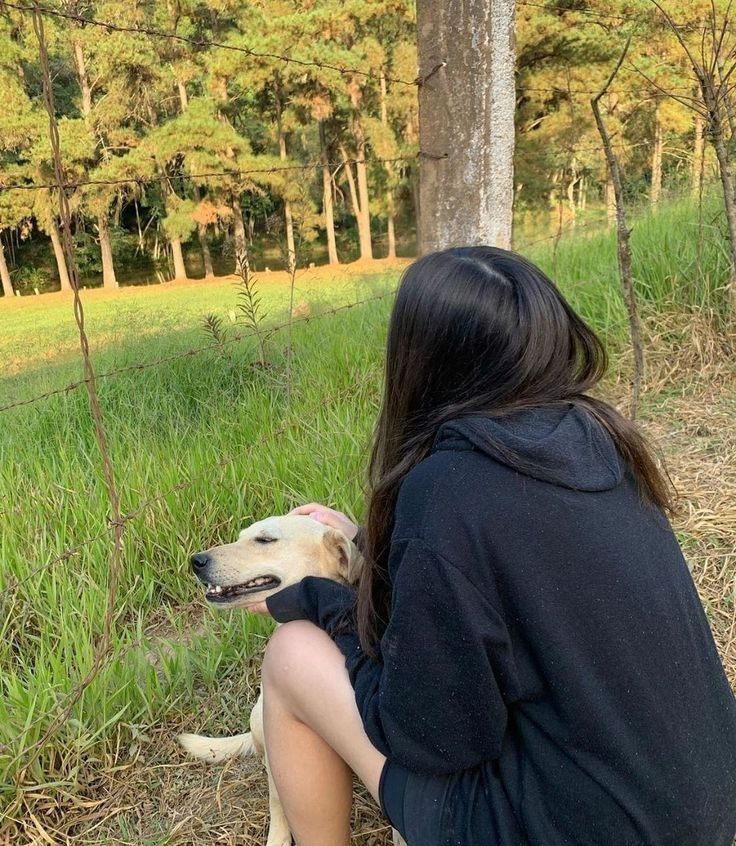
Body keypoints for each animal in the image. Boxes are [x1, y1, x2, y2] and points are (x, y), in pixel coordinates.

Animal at [178, 516, 368, 846]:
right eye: (241, 536)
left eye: (265, 540)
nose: (196, 561)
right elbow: (278, 802)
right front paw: (278, 836)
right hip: (261, 720)